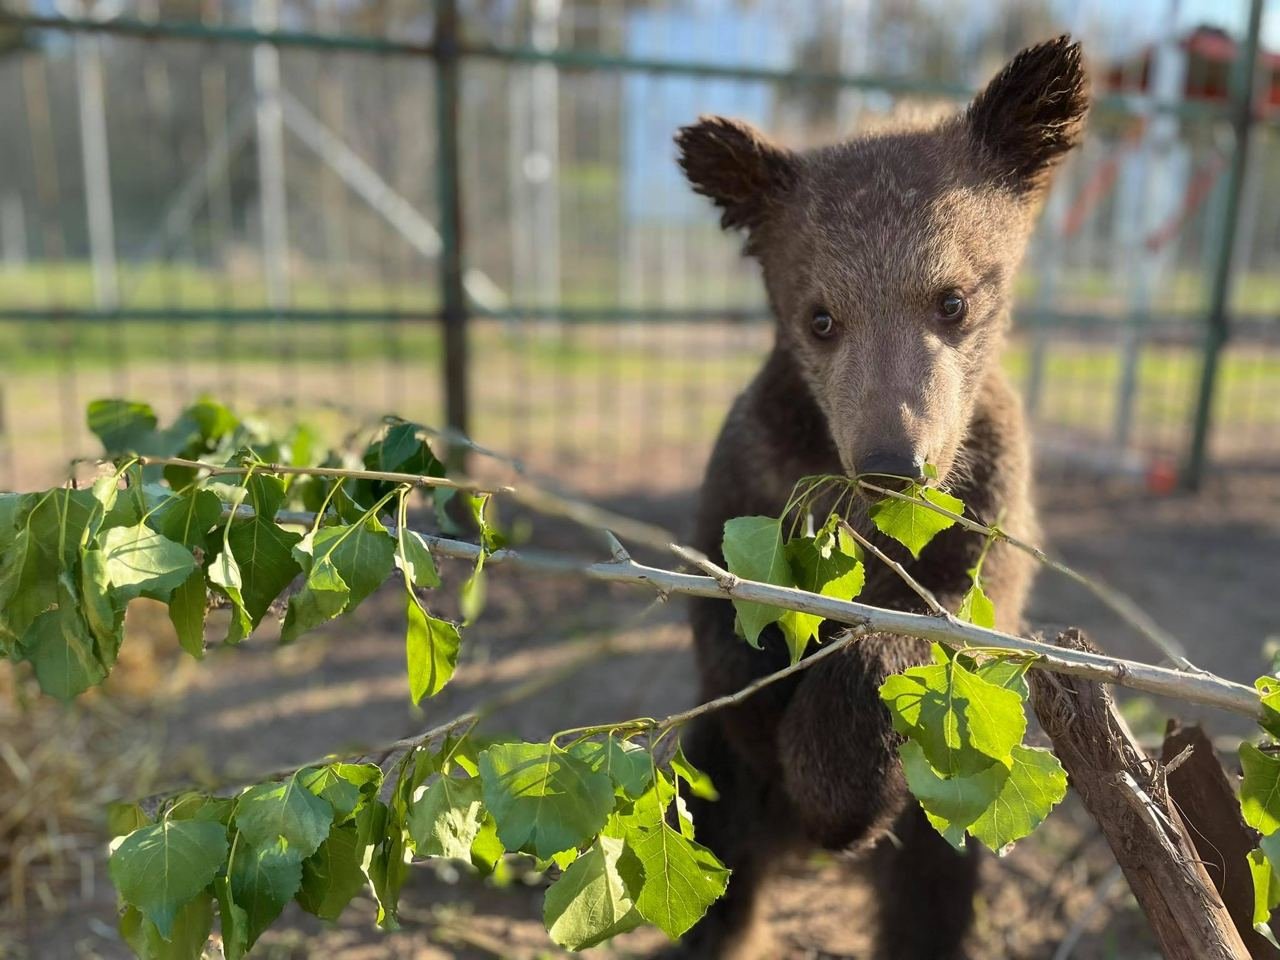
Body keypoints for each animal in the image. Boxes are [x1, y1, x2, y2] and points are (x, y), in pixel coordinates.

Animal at [675, 35, 1085, 960]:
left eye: (954, 299)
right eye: (820, 317)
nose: (895, 461)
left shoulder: (989, 502)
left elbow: (934, 629)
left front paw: (837, 787)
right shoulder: (753, 469)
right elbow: (725, 610)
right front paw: (777, 732)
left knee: (933, 888)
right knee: (712, 868)